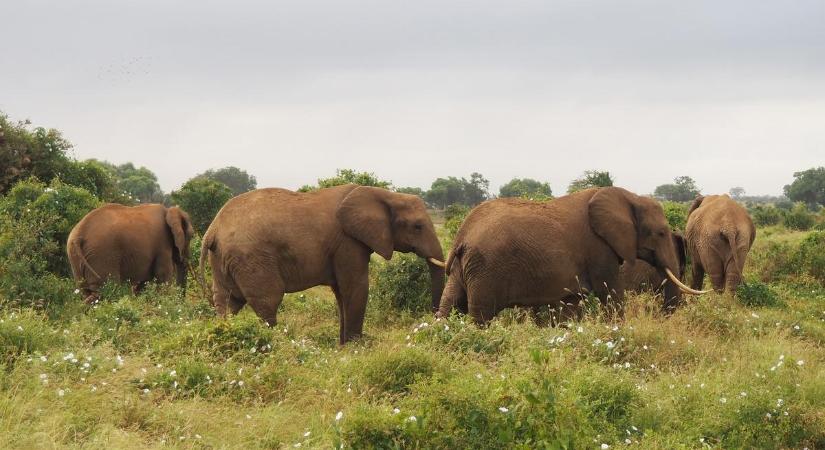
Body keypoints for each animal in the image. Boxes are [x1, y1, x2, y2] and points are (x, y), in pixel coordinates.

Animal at [67, 203, 195, 302]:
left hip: (75, 257)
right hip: (102, 256)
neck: (169, 211)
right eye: (192, 236)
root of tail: (79, 236)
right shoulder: (162, 245)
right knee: (106, 290)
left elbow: (144, 283)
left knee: (86, 292)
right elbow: (163, 277)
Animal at [200, 185, 444, 342]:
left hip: (223, 260)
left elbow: (341, 293)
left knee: (228, 302)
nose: (433, 318)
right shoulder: (348, 242)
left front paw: (343, 346)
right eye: (418, 227)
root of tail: (212, 230)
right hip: (251, 259)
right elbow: (355, 288)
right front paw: (357, 348)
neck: (384, 194)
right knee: (267, 302)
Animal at [434, 186, 704, 324]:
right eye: (660, 233)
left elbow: (571, 303)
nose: (660, 317)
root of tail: (462, 234)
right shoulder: (598, 250)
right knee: (481, 314)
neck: (628, 197)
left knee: (450, 302)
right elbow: (610, 293)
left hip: (464, 267)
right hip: (486, 269)